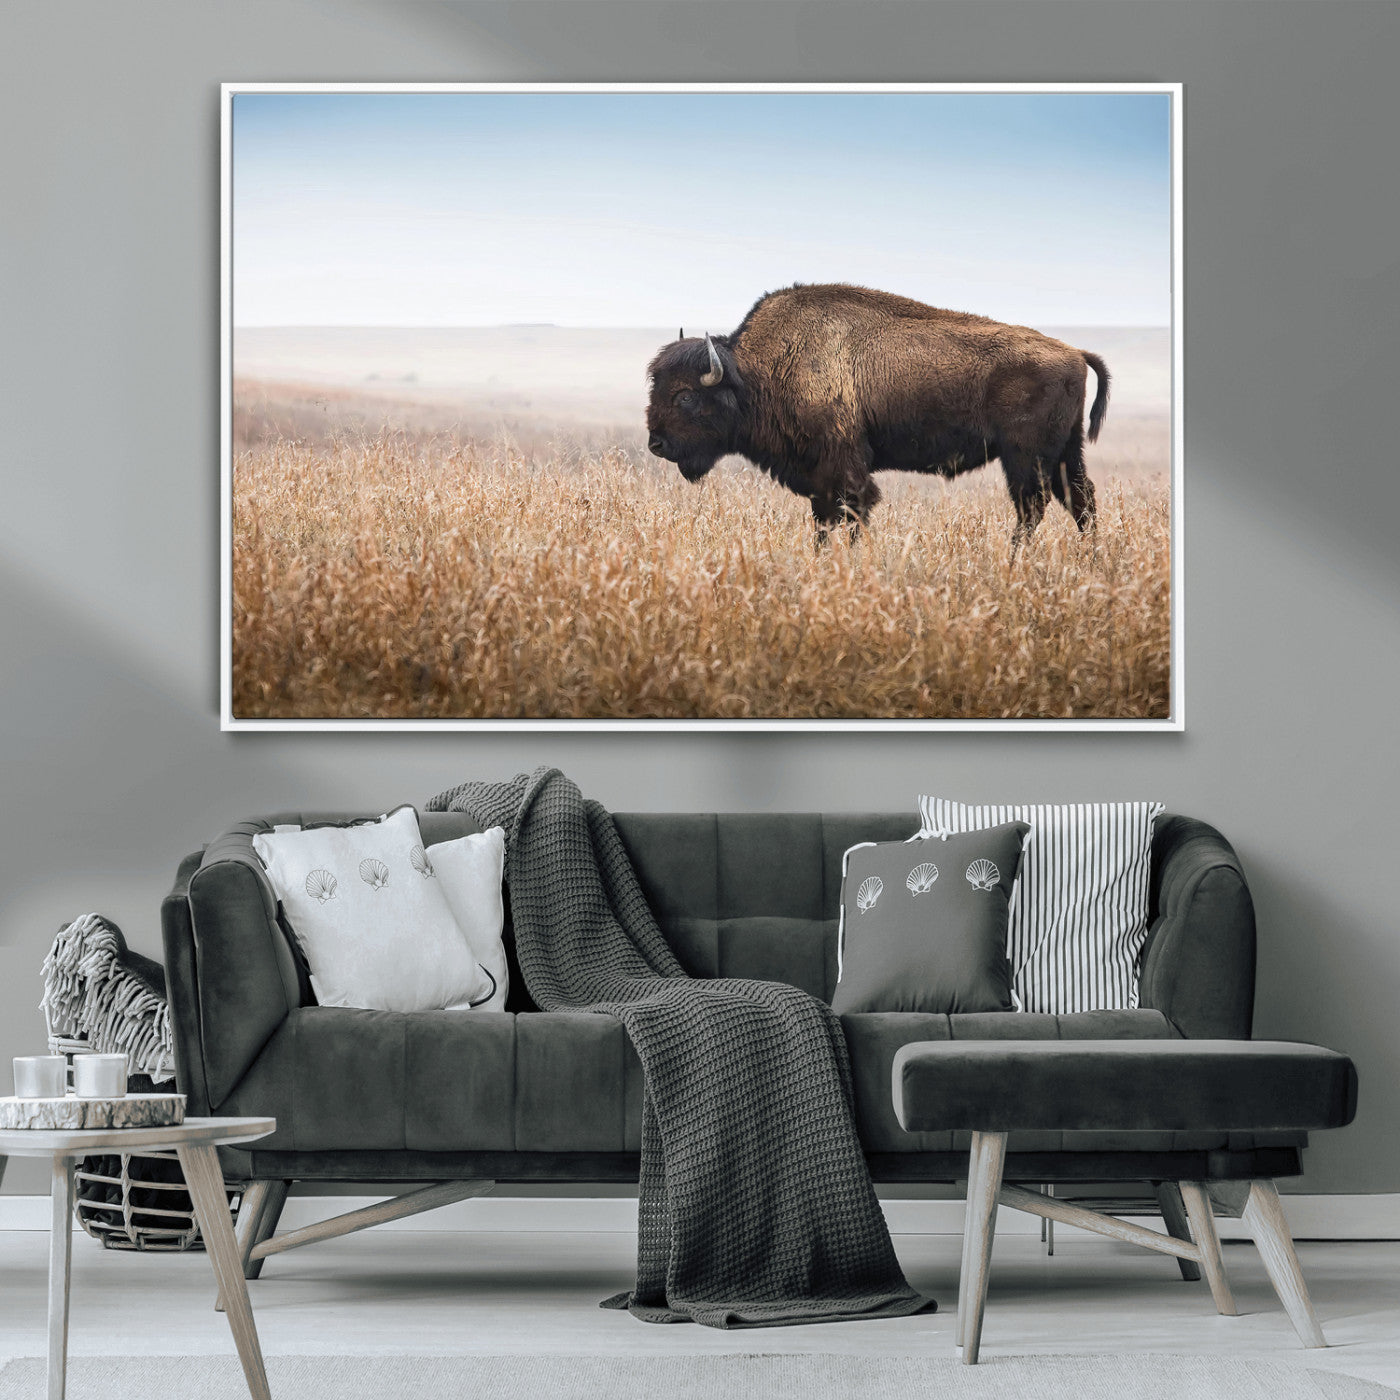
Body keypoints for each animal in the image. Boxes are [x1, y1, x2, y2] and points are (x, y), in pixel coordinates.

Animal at [646, 283, 1110, 549]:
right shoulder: (819, 478)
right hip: (1065, 453)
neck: (755, 372)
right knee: (1081, 501)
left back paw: (1014, 560)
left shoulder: (844, 469)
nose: (656, 443)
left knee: (1033, 507)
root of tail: (1074, 352)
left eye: (685, 396)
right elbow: (824, 522)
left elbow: (852, 513)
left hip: (1025, 457)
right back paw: (1090, 560)